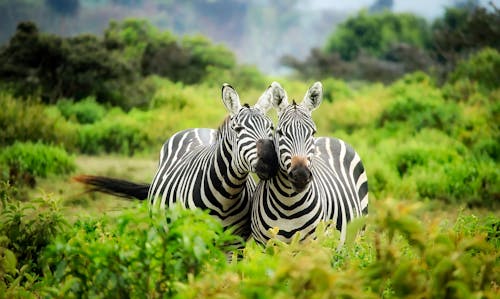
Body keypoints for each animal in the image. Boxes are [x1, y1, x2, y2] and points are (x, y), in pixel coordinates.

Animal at [74, 84, 280, 239]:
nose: (270, 161)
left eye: (271, 127)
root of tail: (198, 128)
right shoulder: (193, 236)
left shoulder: (235, 242)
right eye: (238, 130)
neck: (226, 195)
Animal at [250, 81, 368, 246]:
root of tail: (330, 138)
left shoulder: (312, 244)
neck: (288, 204)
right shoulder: (264, 245)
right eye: (280, 132)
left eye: (312, 132)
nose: (301, 175)